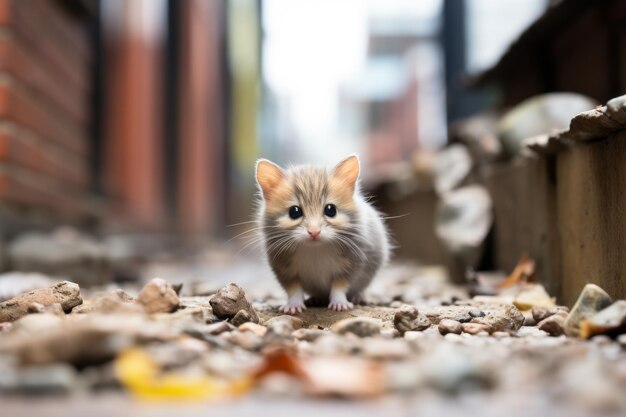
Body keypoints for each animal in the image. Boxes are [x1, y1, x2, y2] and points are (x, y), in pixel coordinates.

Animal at [252, 155, 386, 312]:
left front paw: (340, 305)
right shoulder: (284, 268)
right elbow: (294, 289)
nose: (314, 232)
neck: (315, 248)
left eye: (331, 210)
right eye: (294, 212)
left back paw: (358, 298)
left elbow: (339, 286)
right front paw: (293, 307)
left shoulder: (351, 263)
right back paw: (315, 299)